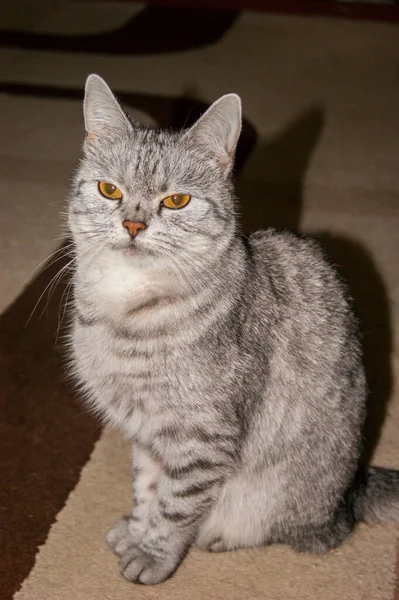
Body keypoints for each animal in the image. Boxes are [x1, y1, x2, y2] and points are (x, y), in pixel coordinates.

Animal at [67, 72, 398, 584]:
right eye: (108, 190)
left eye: (176, 200)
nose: (133, 225)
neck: (125, 305)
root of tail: (351, 494)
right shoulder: (148, 430)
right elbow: (147, 486)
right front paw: (137, 529)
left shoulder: (202, 435)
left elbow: (174, 505)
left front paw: (153, 553)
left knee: (308, 534)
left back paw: (222, 535)